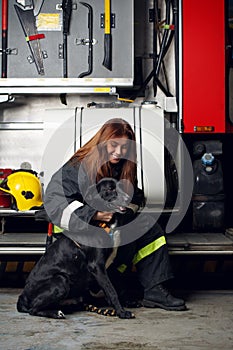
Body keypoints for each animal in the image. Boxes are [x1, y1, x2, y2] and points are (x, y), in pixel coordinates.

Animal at [16, 179, 135, 318]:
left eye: (121, 186)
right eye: (110, 189)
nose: (128, 198)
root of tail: (22, 297)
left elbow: (111, 288)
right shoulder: (96, 265)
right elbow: (111, 290)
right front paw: (121, 312)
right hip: (60, 280)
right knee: (33, 310)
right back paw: (56, 313)